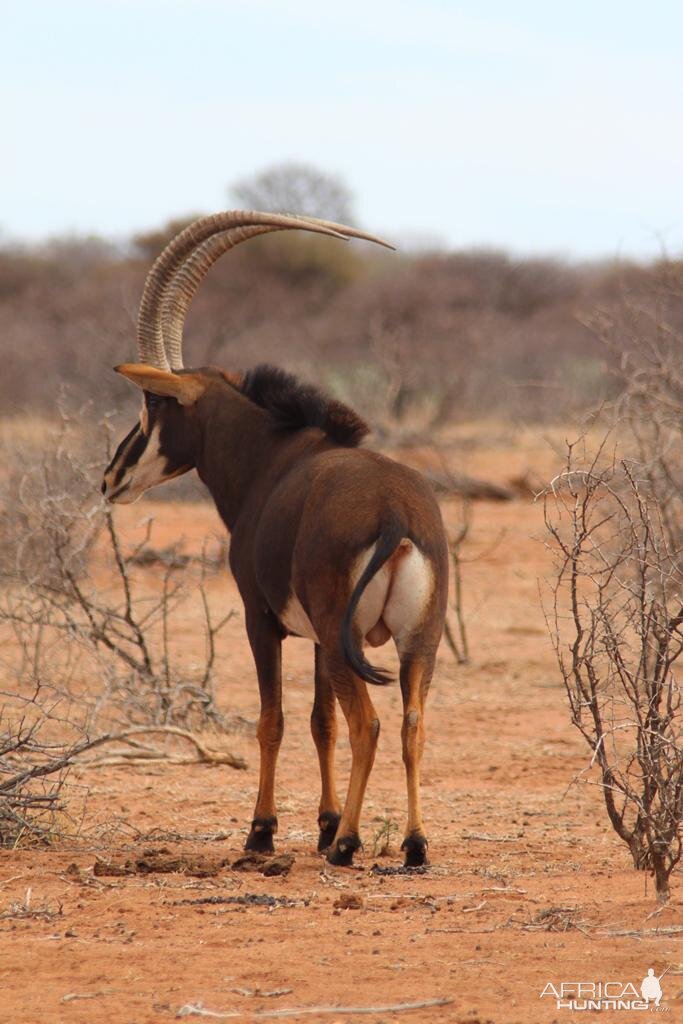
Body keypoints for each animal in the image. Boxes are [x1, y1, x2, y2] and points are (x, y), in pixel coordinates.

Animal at [102, 214, 448, 864]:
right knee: (411, 722)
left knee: (370, 724)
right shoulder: (315, 638)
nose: (111, 479)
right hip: (417, 641)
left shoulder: (261, 619)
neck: (273, 456)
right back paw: (413, 845)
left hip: (345, 639)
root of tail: (394, 513)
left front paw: (263, 831)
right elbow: (319, 721)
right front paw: (324, 822)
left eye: (153, 401)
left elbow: (273, 721)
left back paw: (349, 845)